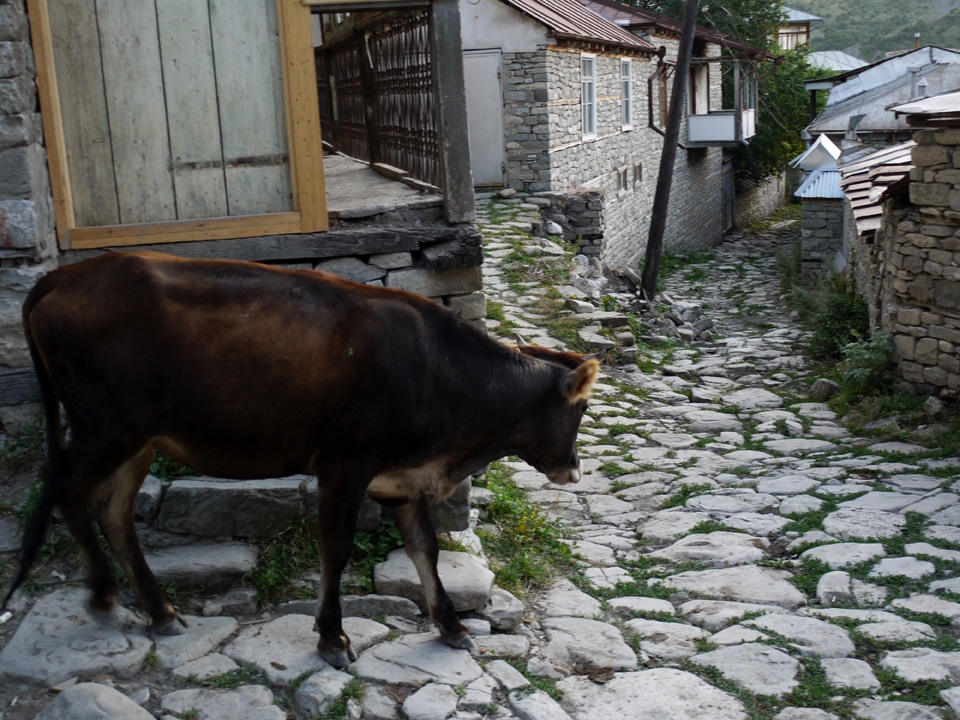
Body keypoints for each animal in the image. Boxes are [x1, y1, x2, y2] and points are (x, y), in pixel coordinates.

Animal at [2, 251, 598, 667]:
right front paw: (332, 637)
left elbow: (423, 548)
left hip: (138, 440)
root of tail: (62, 277)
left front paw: (451, 627)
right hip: (106, 428)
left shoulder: (399, 476)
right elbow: (336, 547)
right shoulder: (346, 463)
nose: (573, 469)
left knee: (114, 512)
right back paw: (105, 595)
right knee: (70, 493)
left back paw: (160, 610)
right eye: (581, 409)